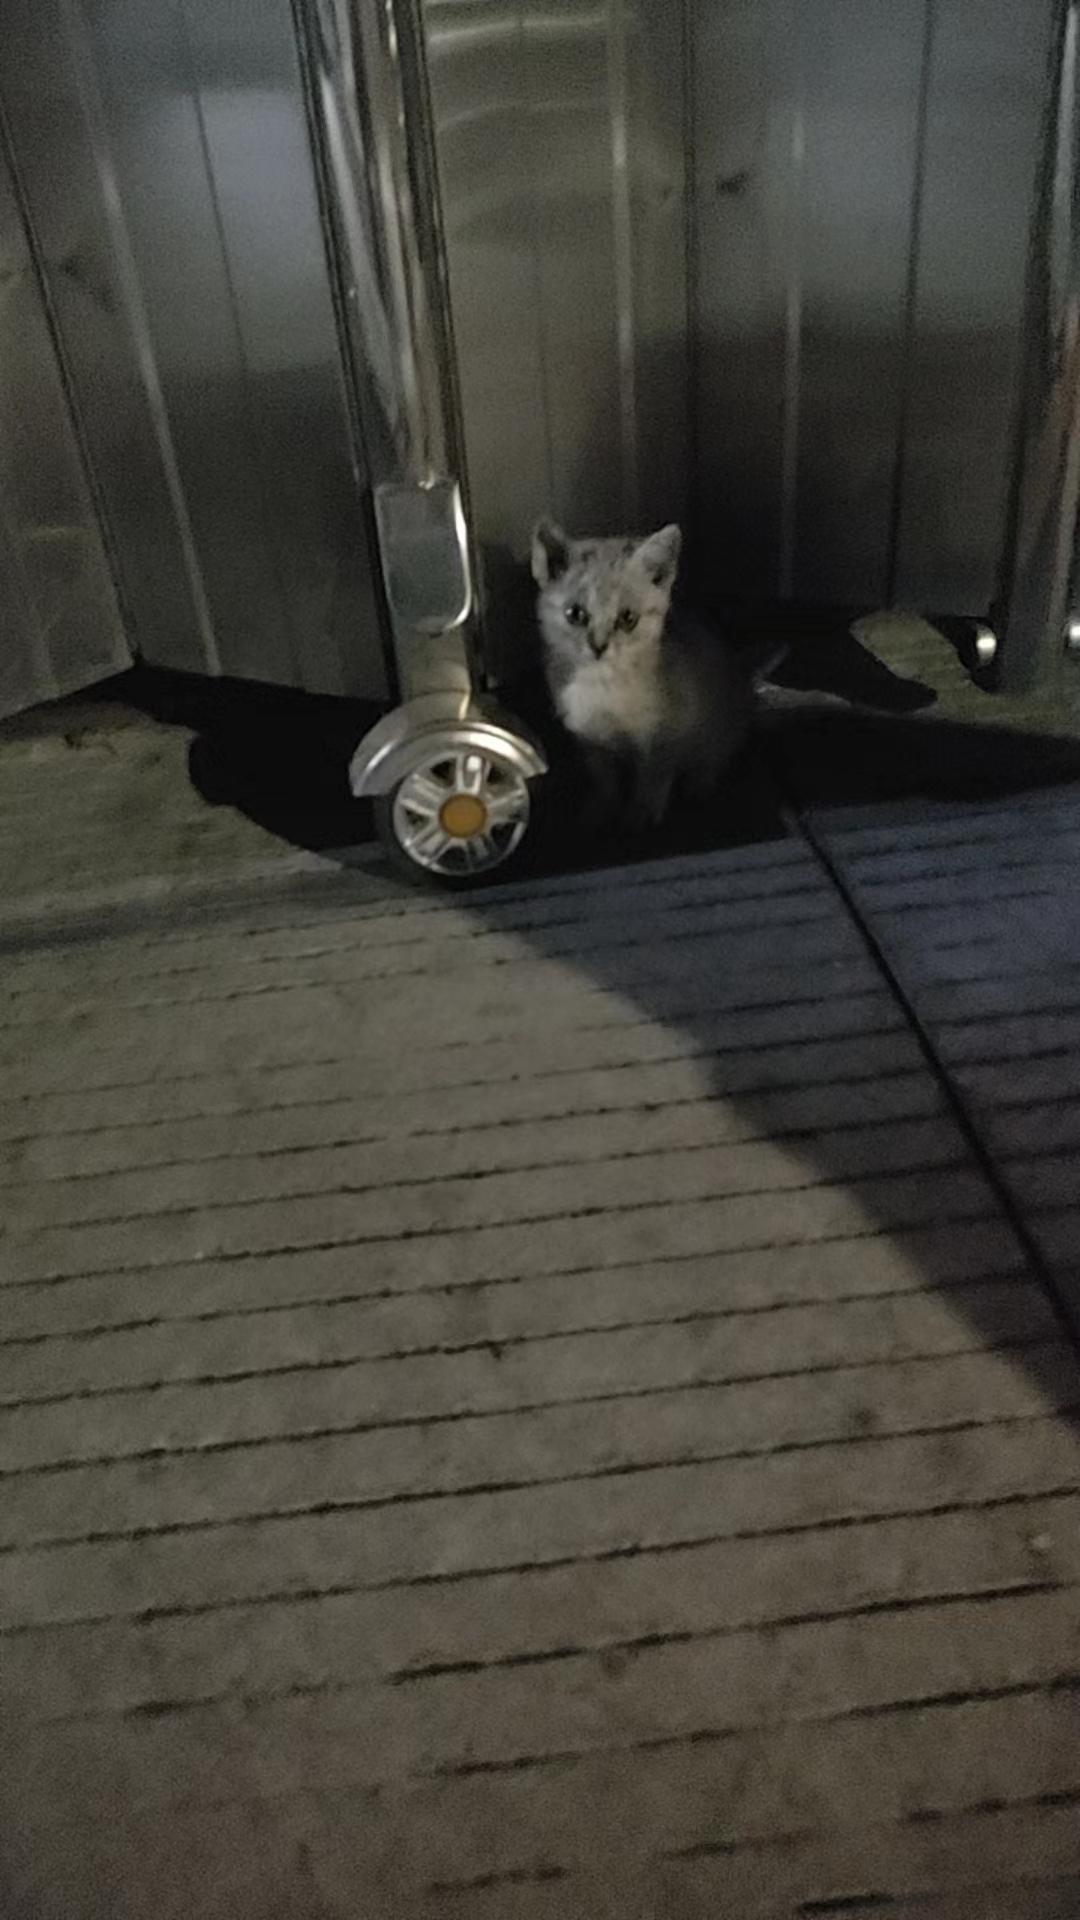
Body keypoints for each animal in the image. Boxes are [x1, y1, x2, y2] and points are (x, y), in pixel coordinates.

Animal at [532, 520, 751, 828]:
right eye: (575, 613)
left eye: (628, 618)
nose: (598, 647)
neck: (604, 685)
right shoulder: (591, 739)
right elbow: (603, 778)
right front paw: (600, 808)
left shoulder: (665, 736)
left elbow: (652, 779)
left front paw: (641, 814)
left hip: (718, 731)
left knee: (711, 759)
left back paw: (699, 784)